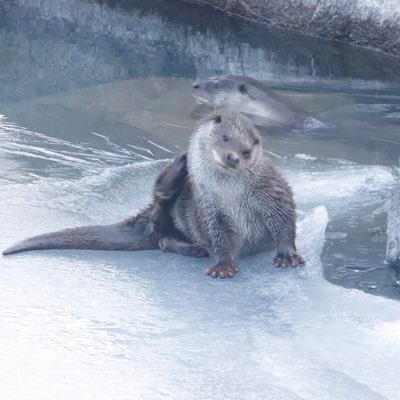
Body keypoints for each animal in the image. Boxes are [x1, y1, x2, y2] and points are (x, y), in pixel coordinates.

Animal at [2, 109, 304, 278]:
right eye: (225, 138)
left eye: (247, 151)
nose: (233, 157)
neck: (231, 196)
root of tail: (146, 217)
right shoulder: (207, 207)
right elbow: (217, 237)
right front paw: (223, 265)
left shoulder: (270, 191)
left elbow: (284, 220)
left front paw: (287, 255)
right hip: (172, 208)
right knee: (161, 218)